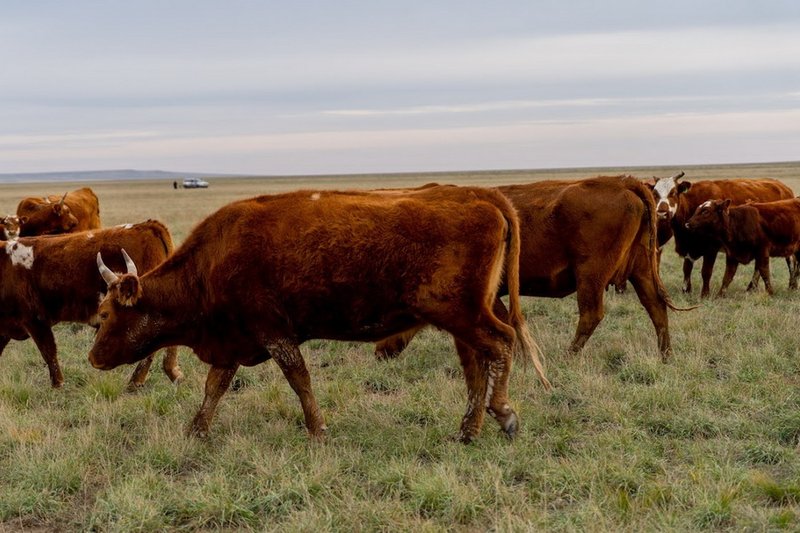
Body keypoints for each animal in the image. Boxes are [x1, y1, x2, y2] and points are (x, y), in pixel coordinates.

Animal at [0, 221, 183, 390]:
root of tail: (149, 226)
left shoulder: (35, 320)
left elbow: (49, 352)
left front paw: (58, 384)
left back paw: (138, 380)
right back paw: (172, 373)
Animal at [87, 185, 552, 442]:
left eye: (106, 314)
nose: (93, 358)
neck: (212, 261)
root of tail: (478, 194)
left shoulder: (273, 331)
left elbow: (299, 379)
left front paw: (317, 429)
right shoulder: (233, 340)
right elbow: (214, 388)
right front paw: (196, 430)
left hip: (462, 313)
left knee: (502, 343)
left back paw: (504, 413)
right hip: (461, 320)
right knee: (476, 366)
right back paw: (467, 430)